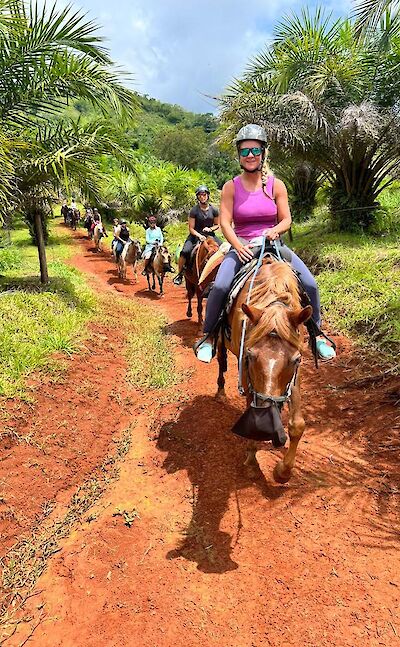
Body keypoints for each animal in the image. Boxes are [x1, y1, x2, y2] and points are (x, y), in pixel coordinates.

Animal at [216, 256, 312, 484]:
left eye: (296, 360)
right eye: (250, 357)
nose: (269, 423)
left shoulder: (295, 374)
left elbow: (298, 424)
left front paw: (283, 471)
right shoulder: (245, 370)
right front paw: (251, 460)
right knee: (221, 360)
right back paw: (220, 391)